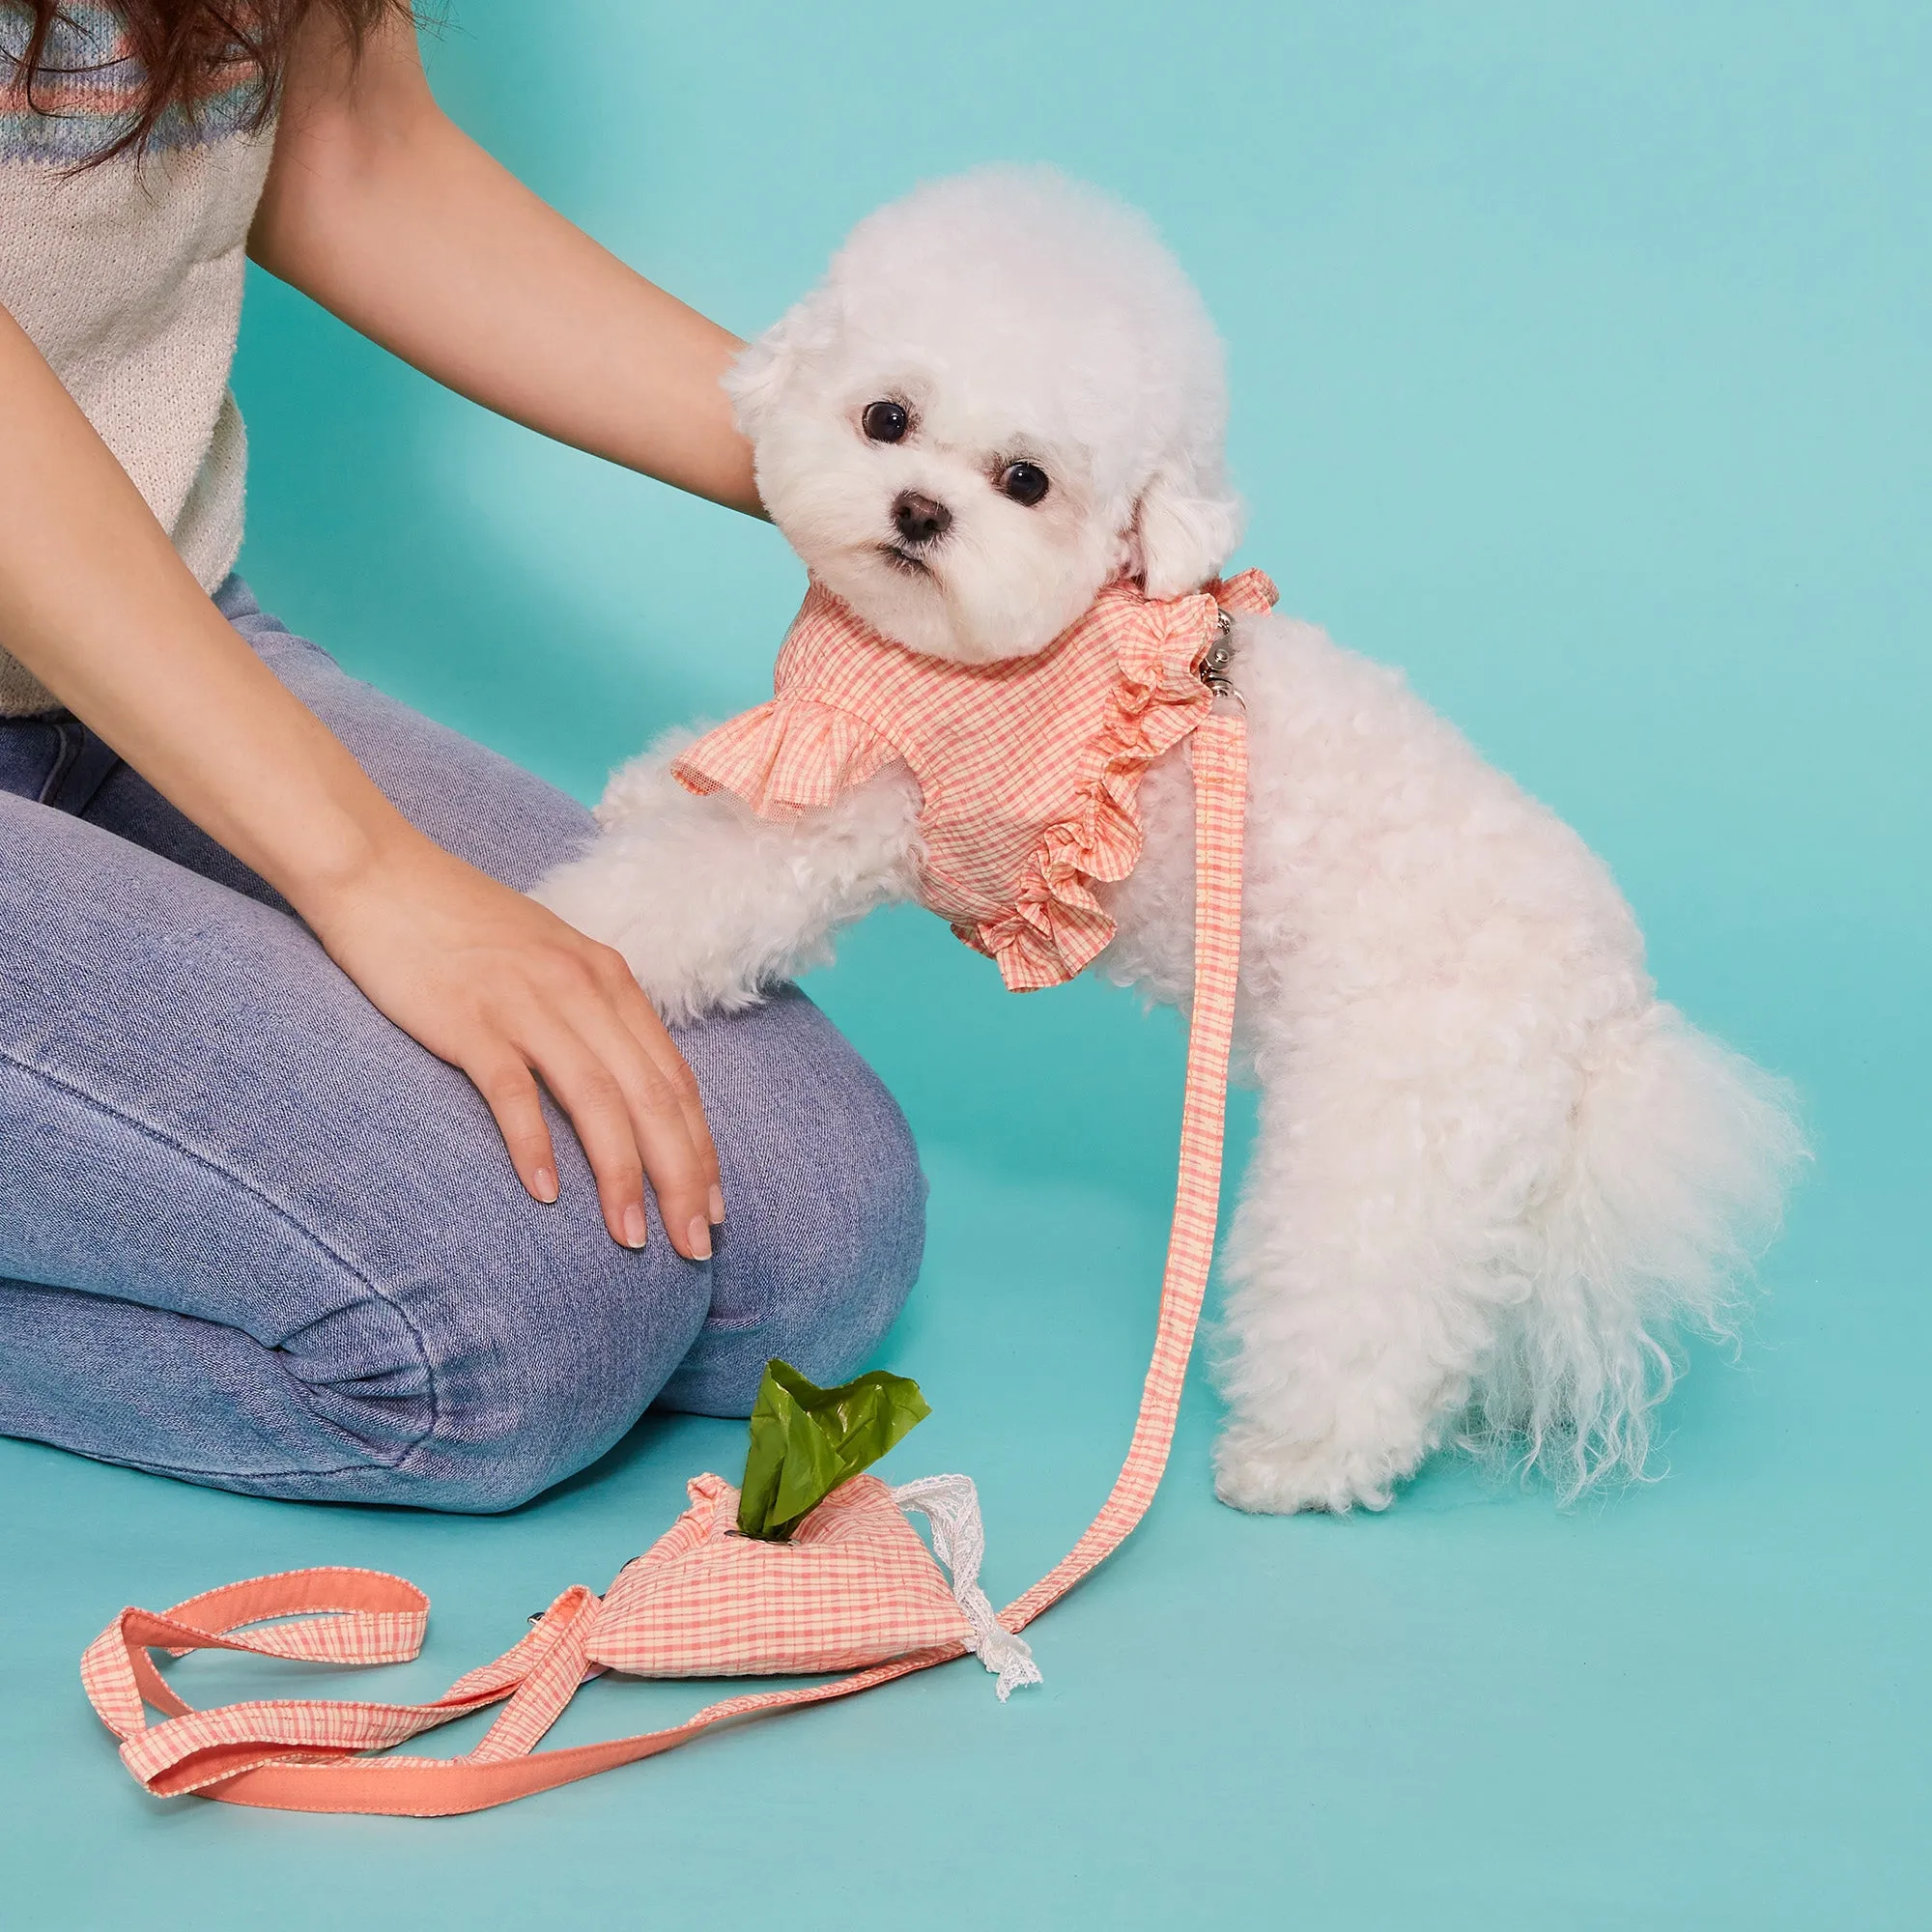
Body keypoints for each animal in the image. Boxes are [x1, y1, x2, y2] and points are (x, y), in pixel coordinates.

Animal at [533, 170, 1808, 1507]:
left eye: (1026, 482)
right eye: (886, 416)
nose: (919, 511)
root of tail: (1607, 1011)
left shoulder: (849, 810)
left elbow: (692, 884)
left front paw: (565, 936)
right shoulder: (819, 731)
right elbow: (708, 783)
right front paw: (639, 787)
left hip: (1390, 1133)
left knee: (1367, 1310)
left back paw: (1299, 1460)